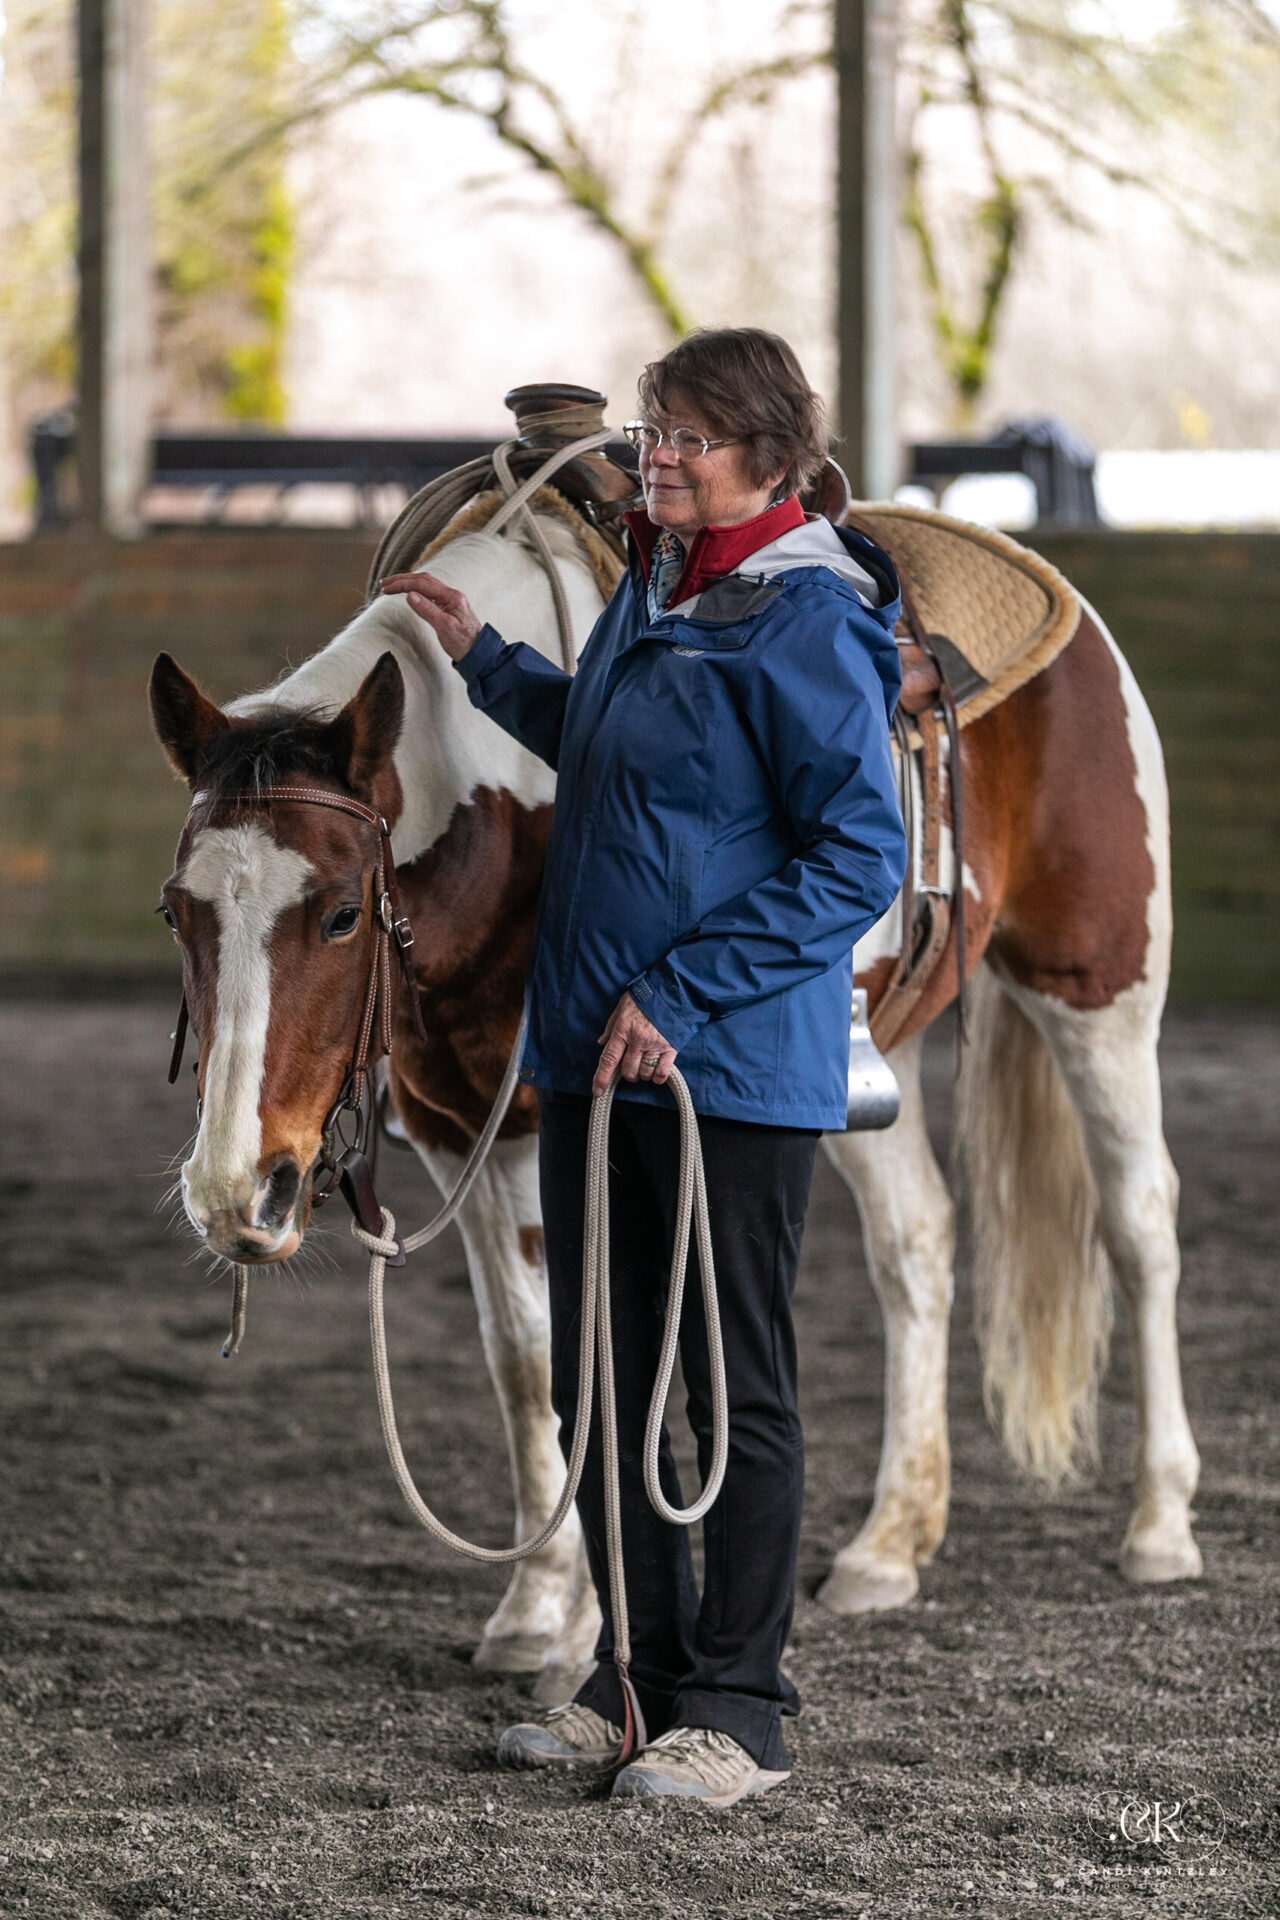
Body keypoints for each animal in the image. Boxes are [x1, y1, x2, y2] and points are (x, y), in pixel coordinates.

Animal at [148, 496, 1201, 1694]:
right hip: (850, 1074)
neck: (512, 811)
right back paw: (889, 1543)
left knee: (1138, 1226)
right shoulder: (469, 1133)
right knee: (918, 1245)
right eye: (176, 912)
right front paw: (535, 1610)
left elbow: (600, 1351)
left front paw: (585, 1634)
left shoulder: (569, 1125)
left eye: (335, 914)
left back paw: (1159, 1525)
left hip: (1099, 995)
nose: (236, 1195)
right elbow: (528, 1363)